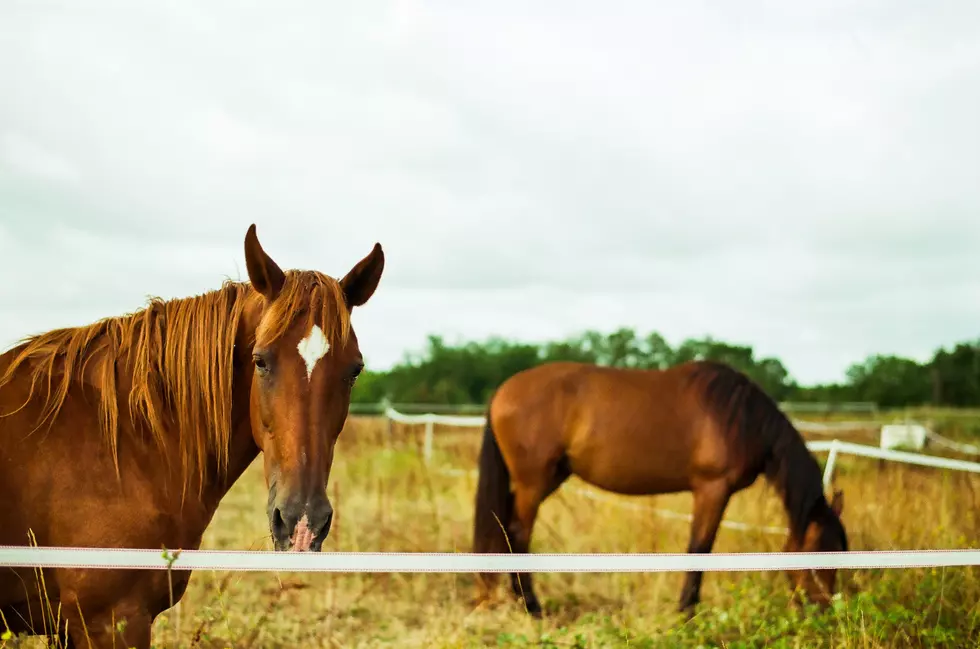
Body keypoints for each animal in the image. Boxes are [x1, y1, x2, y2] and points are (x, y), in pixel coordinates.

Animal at [472, 360, 848, 617]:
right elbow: (699, 549)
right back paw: (532, 607)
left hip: (549, 478)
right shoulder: (712, 489)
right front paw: (686, 613)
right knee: (518, 533)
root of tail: (503, 391)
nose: (823, 610)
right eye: (820, 553)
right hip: (533, 482)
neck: (742, 419)